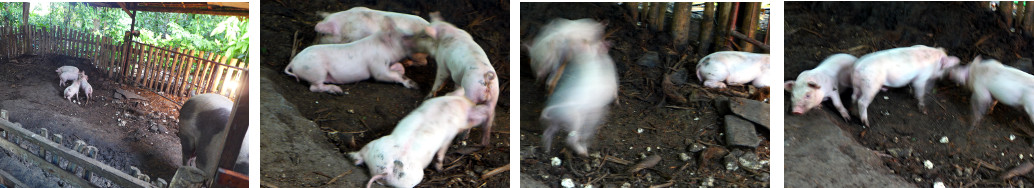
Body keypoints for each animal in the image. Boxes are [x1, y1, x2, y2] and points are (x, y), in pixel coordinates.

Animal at [283, 21, 436, 94]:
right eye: (405, 36)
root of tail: (293, 62)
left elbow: (399, 68)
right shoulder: (377, 64)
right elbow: (382, 75)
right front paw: (415, 86)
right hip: (316, 70)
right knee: (314, 87)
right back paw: (337, 91)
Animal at [349, 95, 490, 188]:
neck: (450, 104)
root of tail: (387, 170)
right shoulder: (449, 135)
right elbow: (441, 152)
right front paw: (440, 169)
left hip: (375, 144)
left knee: (359, 156)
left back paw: (350, 155)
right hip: (412, 179)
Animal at [421, 12, 498, 145]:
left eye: (427, 35)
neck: (449, 31)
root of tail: (486, 77)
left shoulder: (442, 62)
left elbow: (440, 78)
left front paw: (427, 96)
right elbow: (455, 84)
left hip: (472, 91)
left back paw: (461, 139)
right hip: (494, 97)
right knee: (489, 120)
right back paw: (484, 142)